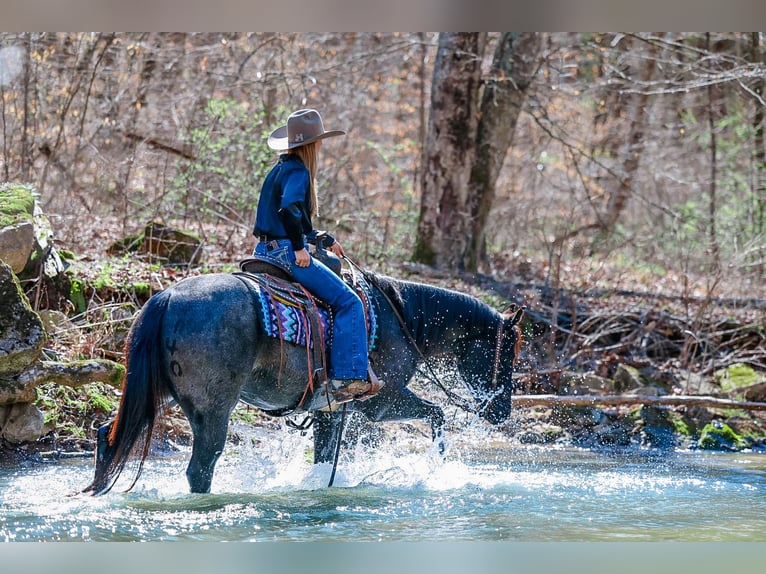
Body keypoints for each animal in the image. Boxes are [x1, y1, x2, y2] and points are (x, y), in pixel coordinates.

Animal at [83, 267, 524, 495]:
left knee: (109, 436)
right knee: (200, 468)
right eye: (508, 350)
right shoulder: (380, 404)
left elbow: (325, 460)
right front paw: (436, 469)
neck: (401, 317)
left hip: (163, 395)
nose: (501, 412)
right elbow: (437, 414)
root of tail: (167, 297)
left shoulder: (331, 411)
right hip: (213, 411)